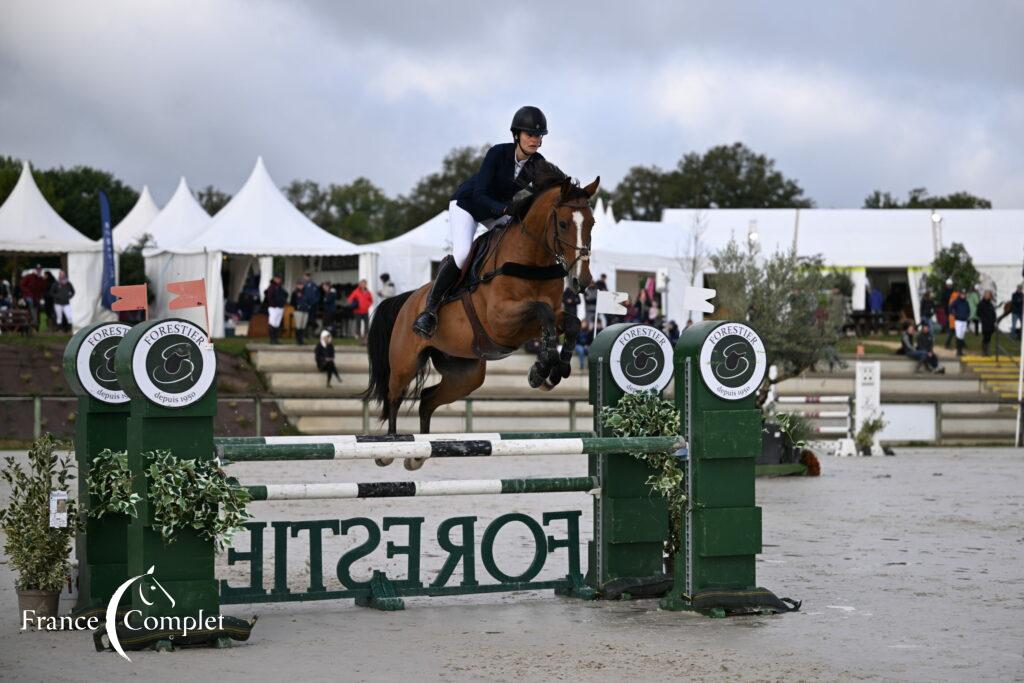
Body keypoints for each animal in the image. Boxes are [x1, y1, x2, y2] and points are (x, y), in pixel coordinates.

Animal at [364, 162, 598, 466]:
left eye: (592, 223)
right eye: (563, 224)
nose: (583, 281)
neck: (531, 259)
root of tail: (408, 299)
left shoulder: (539, 321)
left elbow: (571, 322)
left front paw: (557, 368)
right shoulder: (501, 320)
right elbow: (543, 311)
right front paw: (541, 369)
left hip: (466, 374)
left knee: (427, 399)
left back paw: (419, 454)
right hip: (405, 361)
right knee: (394, 396)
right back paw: (389, 450)